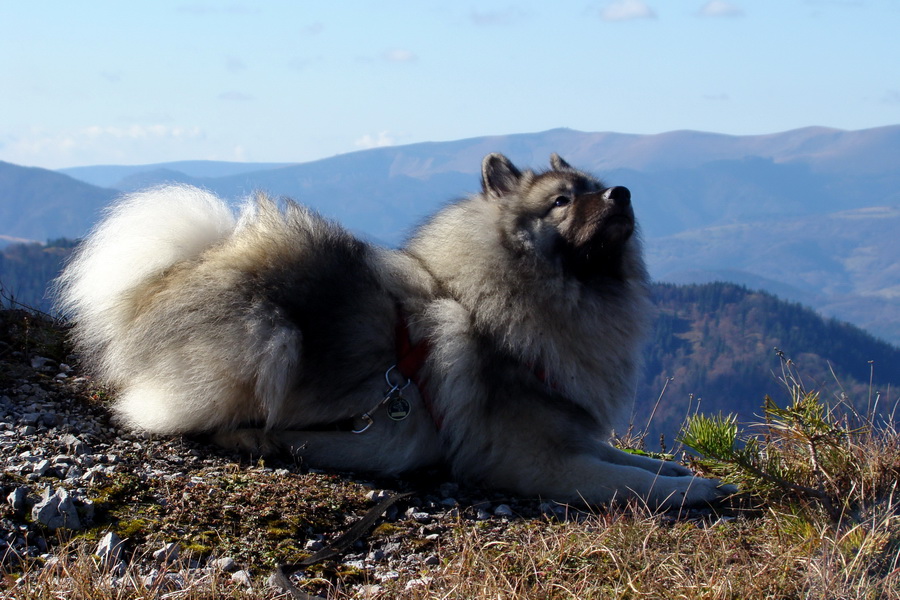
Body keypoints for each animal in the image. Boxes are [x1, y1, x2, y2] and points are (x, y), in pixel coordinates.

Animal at [54, 152, 732, 508]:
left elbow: (633, 458)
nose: (622, 193)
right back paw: (263, 440)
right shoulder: (535, 461)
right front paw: (699, 489)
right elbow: (632, 481)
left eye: (596, 188)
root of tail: (164, 279)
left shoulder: (573, 434)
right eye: (564, 200)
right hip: (269, 339)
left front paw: (691, 473)